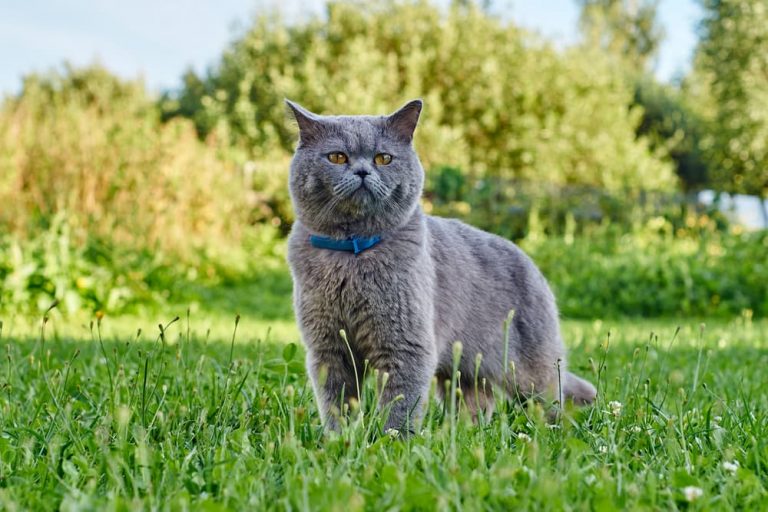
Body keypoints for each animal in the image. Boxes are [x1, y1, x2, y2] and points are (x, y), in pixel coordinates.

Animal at [284, 99, 596, 432]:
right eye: (337, 156)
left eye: (383, 158)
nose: (363, 171)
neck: (351, 253)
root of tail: (531, 264)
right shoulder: (328, 347)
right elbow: (337, 403)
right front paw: (339, 437)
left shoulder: (406, 344)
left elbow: (400, 405)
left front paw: (390, 438)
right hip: (464, 369)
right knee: (477, 400)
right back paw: (465, 431)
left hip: (529, 370)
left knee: (550, 400)